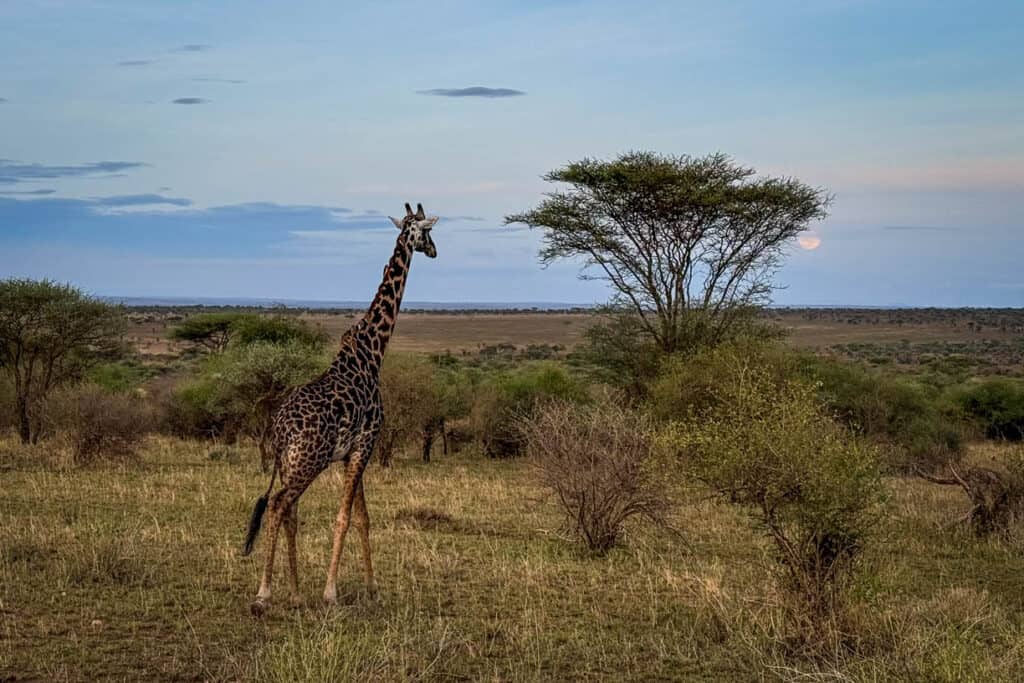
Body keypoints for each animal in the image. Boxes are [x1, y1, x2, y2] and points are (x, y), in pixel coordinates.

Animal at [245, 201, 442, 614]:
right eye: (428, 231)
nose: (434, 251)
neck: (372, 353)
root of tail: (280, 429)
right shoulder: (366, 444)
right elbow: (344, 517)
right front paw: (331, 592)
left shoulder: (356, 450)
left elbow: (363, 517)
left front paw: (372, 588)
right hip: (308, 461)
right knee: (277, 505)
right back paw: (264, 593)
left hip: (290, 463)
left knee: (290, 511)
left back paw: (295, 592)